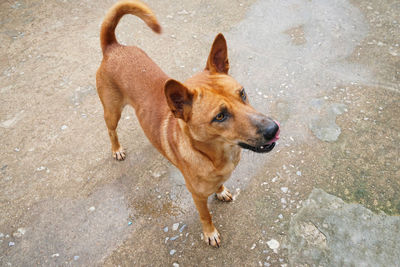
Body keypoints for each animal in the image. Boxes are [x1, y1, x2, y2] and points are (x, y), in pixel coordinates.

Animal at [96, 0, 282, 248]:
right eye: (220, 116)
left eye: (242, 93)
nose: (274, 129)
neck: (216, 155)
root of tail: (113, 47)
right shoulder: (197, 195)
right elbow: (206, 215)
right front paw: (209, 233)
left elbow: (219, 185)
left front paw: (221, 190)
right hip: (112, 111)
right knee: (111, 130)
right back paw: (116, 149)